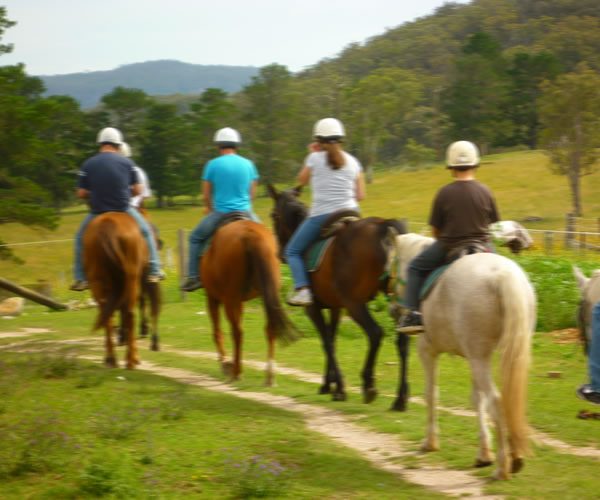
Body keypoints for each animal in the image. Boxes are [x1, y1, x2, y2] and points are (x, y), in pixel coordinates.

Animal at [84, 211, 159, 368]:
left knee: (107, 315)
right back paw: (131, 359)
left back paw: (111, 358)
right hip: (131, 279)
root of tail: (107, 223)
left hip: (98, 282)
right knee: (129, 312)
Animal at [200, 217, 300, 384]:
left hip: (230, 299)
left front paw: (225, 362)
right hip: (267, 295)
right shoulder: (240, 302)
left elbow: (217, 331)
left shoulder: (213, 298)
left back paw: (236, 372)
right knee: (270, 328)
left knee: (237, 332)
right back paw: (269, 376)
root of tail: (250, 234)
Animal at [268, 184, 406, 402]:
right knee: (403, 340)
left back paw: (369, 384)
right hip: (393, 299)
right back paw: (400, 398)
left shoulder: (313, 308)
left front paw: (338, 387)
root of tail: (382, 226)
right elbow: (332, 339)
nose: (279, 253)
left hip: (354, 303)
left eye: (273, 215)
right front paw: (328, 384)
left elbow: (326, 342)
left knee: (375, 333)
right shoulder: (335, 307)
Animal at [392, 234, 536, 480]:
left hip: (479, 359)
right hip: (499, 355)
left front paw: (430, 442)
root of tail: (501, 274)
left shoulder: (427, 351)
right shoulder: (473, 357)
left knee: (497, 400)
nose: (393, 310)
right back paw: (514, 457)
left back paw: (502, 467)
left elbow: (431, 394)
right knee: (509, 400)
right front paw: (483, 453)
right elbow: (477, 399)